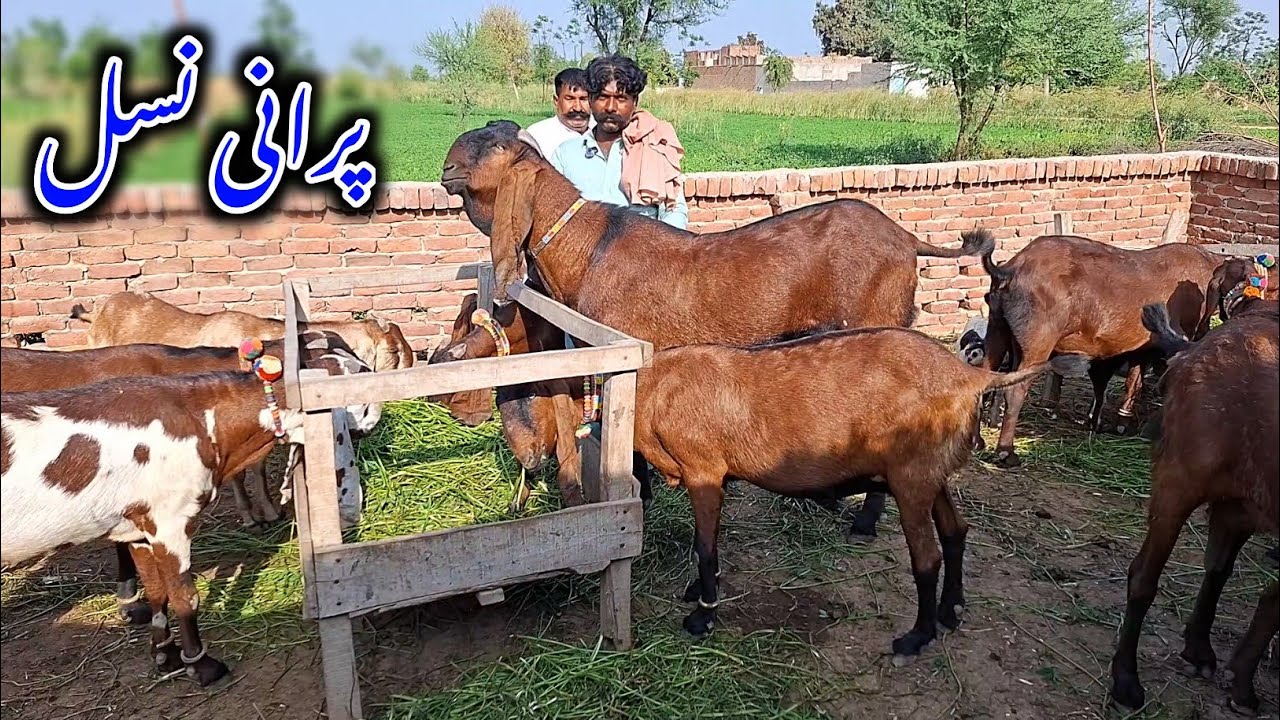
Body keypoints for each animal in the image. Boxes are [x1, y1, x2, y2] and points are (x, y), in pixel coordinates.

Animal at [0, 355, 380, 686]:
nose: (353, 508)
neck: (203, 421)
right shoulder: (171, 522)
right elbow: (185, 597)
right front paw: (202, 666)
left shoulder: (137, 527)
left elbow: (157, 592)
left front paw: (164, 656)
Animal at [628, 325, 1085, 663]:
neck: (654, 390)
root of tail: (971, 377)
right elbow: (706, 542)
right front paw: (699, 591)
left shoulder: (703, 470)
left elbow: (705, 547)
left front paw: (701, 617)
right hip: (932, 474)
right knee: (956, 531)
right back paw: (950, 610)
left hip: (911, 478)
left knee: (927, 558)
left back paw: (916, 637)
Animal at [978, 235, 1223, 467]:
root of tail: (1010, 270)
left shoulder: (1140, 348)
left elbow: (1134, 381)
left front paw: (1122, 424)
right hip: (1038, 338)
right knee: (1015, 390)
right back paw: (1007, 453)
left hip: (998, 327)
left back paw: (979, 442)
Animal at [1110, 297, 1278, 714]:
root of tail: (1193, 350)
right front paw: (1243, 687)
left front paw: (1242, 683)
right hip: (1180, 480)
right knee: (1143, 577)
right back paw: (1126, 682)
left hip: (1241, 500)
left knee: (1218, 567)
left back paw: (1200, 650)